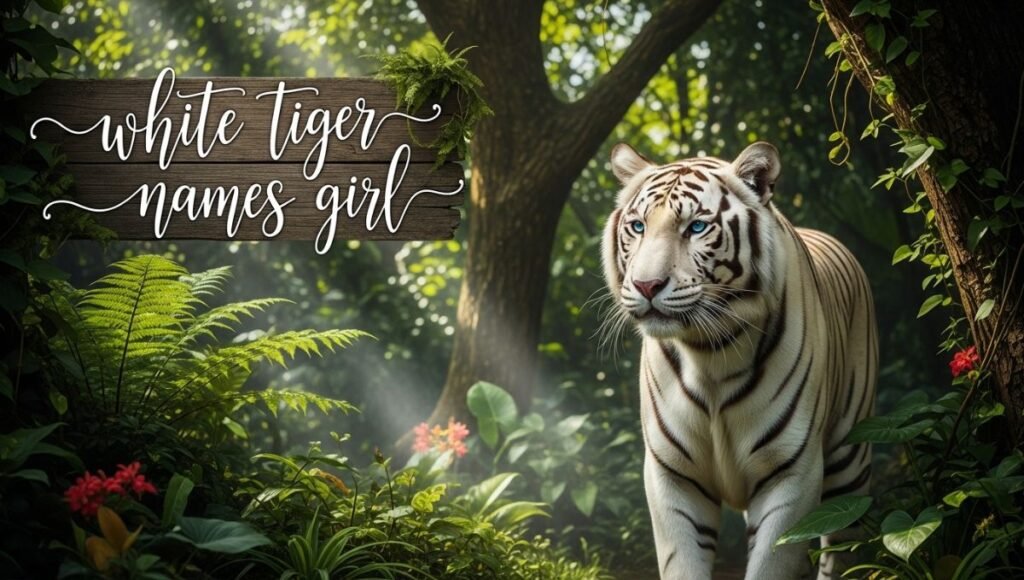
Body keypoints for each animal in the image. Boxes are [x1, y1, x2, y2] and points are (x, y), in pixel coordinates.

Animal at [600, 141, 877, 580]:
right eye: (638, 227)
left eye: (696, 227)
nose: (646, 285)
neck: (709, 353)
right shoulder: (672, 475)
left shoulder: (791, 473)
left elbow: (773, 562)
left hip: (850, 462)